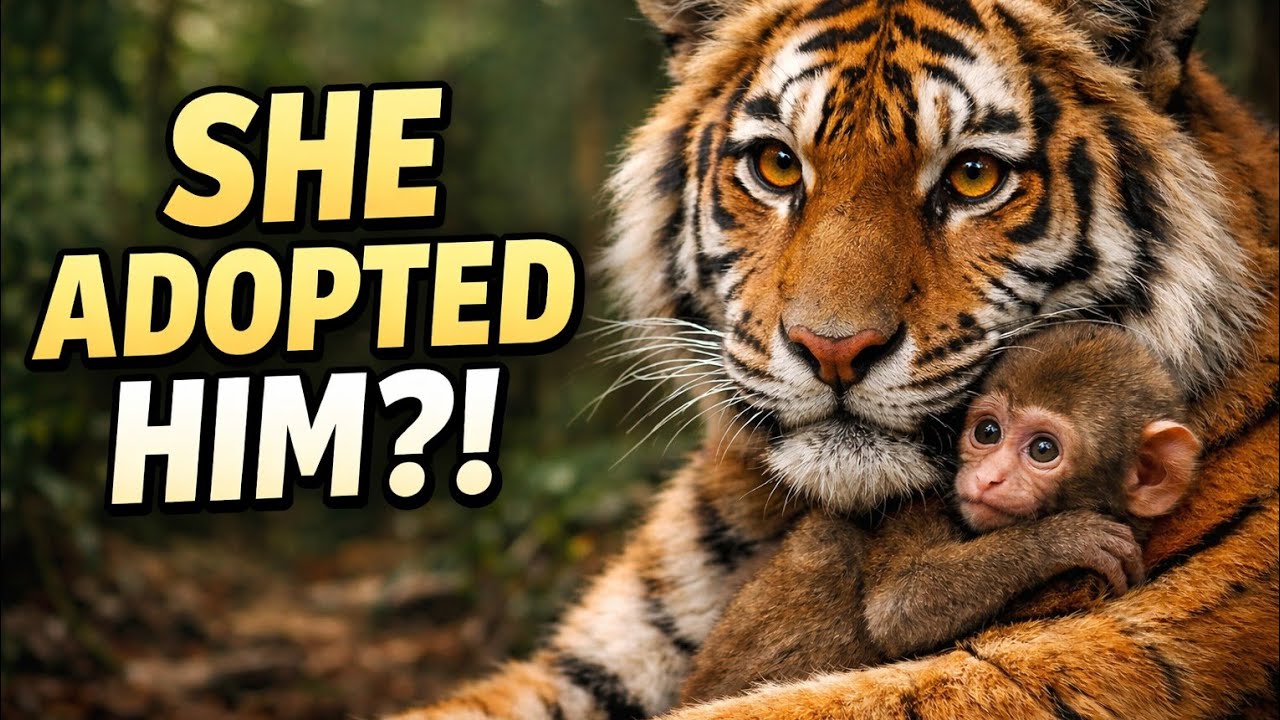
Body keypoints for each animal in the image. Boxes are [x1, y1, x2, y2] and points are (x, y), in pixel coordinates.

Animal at [679, 324, 1201, 706]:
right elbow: (900, 605)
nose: (988, 479)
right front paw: (1068, 537)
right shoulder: (924, 500)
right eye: (987, 432)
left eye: (1043, 449)